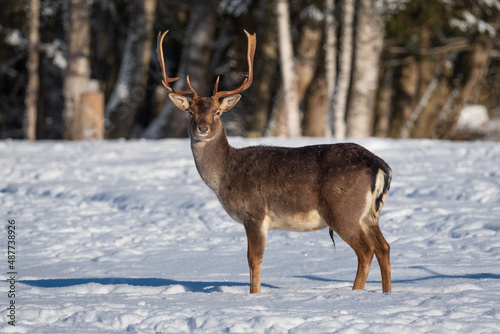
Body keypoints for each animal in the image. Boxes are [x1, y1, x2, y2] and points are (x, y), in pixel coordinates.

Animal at [158, 30, 392, 294]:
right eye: (191, 112)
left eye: (217, 112)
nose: (203, 128)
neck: (226, 174)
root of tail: (380, 167)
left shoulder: (255, 213)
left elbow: (254, 259)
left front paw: (255, 295)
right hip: (369, 215)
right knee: (384, 248)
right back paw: (386, 293)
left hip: (343, 211)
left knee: (366, 250)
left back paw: (356, 293)